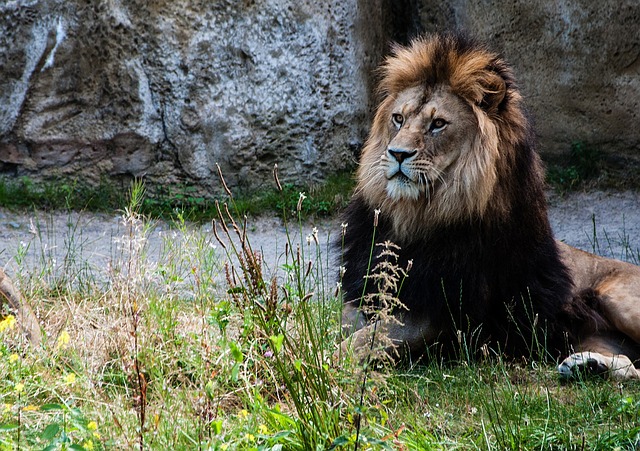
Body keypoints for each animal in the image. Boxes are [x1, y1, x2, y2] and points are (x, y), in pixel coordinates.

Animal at [340, 33, 640, 382]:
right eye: (398, 118)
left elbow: (363, 341)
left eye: (438, 124)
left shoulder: (436, 313)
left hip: (616, 297)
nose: (397, 153)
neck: (415, 219)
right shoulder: (363, 299)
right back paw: (586, 365)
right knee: (631, 364)